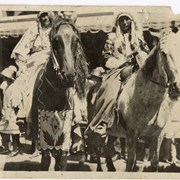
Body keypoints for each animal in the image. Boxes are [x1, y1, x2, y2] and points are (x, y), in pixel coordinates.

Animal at [31, 16, 89, 170]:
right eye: (56, 41)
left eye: (76, 40)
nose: (68, 75)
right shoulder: (44, 140)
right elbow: (45, 162)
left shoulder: (64, 142)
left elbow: (61, 163)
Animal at [85, 31, 180, 172]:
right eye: (163, 53)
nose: (178, 87)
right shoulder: (131, 135)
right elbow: (130, 163)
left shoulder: (158, 135)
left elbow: (154, 162)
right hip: (96, 124)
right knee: (97, 144)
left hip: (114, 131)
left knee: (107, 145)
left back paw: (111, 167)